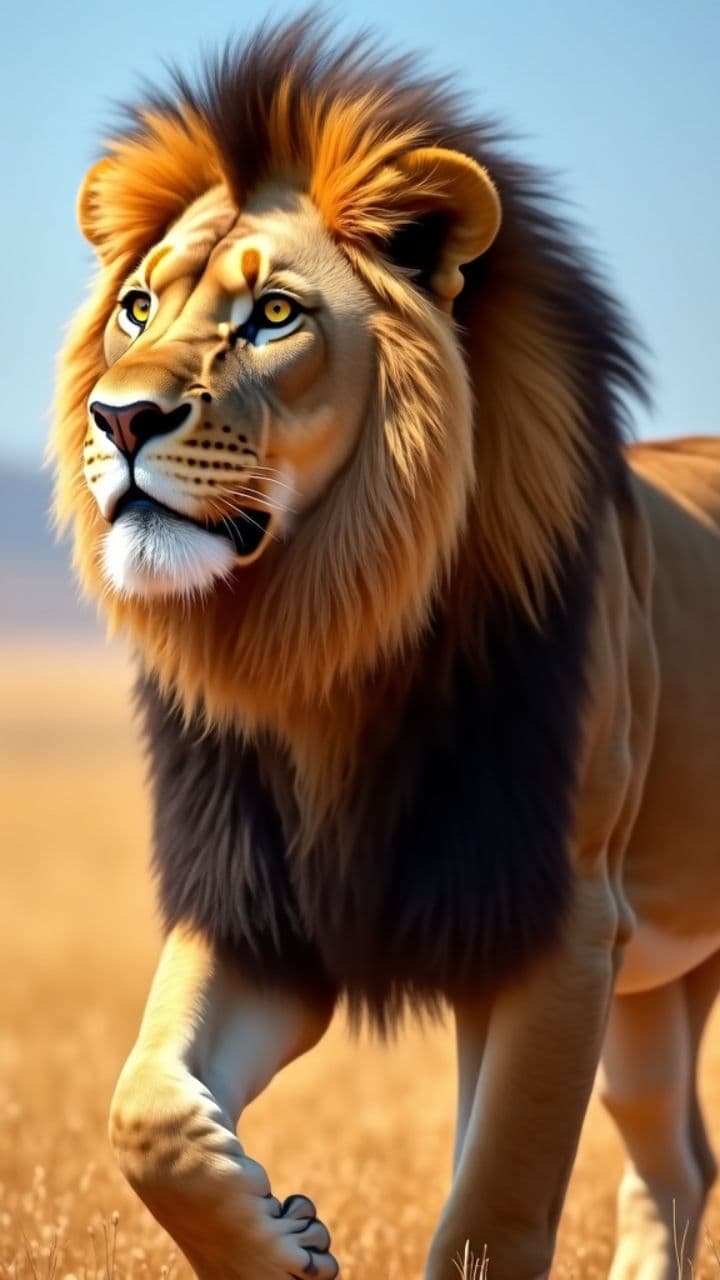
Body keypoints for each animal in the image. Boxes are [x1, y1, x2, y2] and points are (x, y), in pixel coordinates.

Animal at [50, 15, 720, 1279]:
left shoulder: (560, 920)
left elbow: (492, 1207)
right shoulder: (264, 908)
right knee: (675, 1163)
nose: (119, 418)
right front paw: (283, 1234)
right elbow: (143, 1107)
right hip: (649, 990)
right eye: (138, 307)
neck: (324, 632)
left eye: (274, 316)